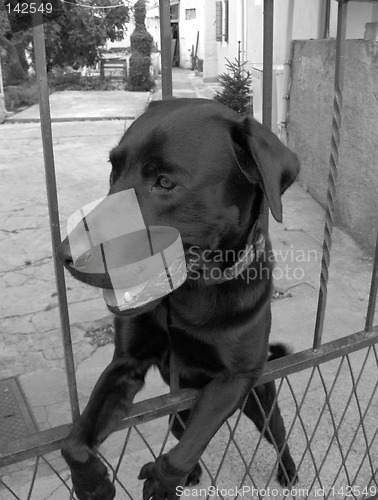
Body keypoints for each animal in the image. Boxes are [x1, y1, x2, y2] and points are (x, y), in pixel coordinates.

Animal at [57, 98, 300, 500]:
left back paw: (288, 472)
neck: (190, 295)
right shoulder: (126, 363)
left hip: (262, 403)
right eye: (113, 170)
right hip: (176, 415)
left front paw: (161, 483)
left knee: (277, 436)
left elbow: (180, 455)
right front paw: (91, 484)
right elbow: (74, 443)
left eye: (165, 182)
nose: (64, 256)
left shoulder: (235, 378)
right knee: (183, 434)